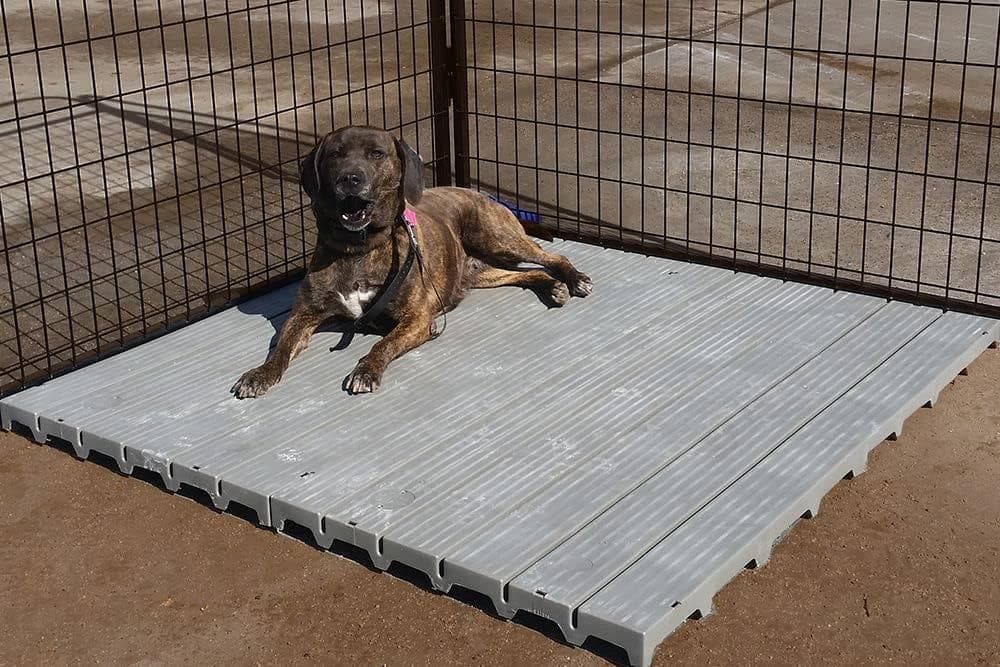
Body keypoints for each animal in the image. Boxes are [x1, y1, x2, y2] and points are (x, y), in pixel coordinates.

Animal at [232, 124, 592, 396]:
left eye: (376, 154)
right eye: (335, 154)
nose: (349, 178)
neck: (358, 248)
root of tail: (481, 193)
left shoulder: (417, 319)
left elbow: (382, 345)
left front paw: (366, 371)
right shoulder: (303, 315)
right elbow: (281, 347)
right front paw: (260, 373)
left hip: (496, 237)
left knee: (552, 255)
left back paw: (574, 279)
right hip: (482, 272)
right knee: (524, 274)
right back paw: (553, 287)